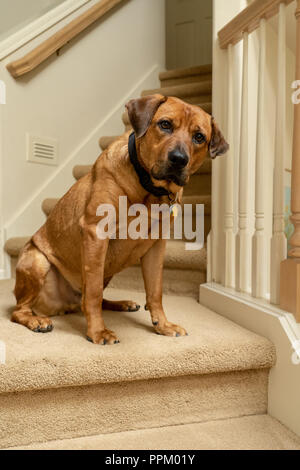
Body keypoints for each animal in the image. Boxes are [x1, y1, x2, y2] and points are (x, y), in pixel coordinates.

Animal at [10, 95, 229, 346]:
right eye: (165, 124)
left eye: (199, 137)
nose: (179, 159)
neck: (149, 187)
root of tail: (62, 306)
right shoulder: (96, 233)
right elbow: (93, 294)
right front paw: (98, 332)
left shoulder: (156, 246)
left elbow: (155, 291)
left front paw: (162, 325)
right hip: (38, 262)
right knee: (20, 310)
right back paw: (36, 320)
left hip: (107, 269)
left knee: (89, 298)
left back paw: (121, 303)